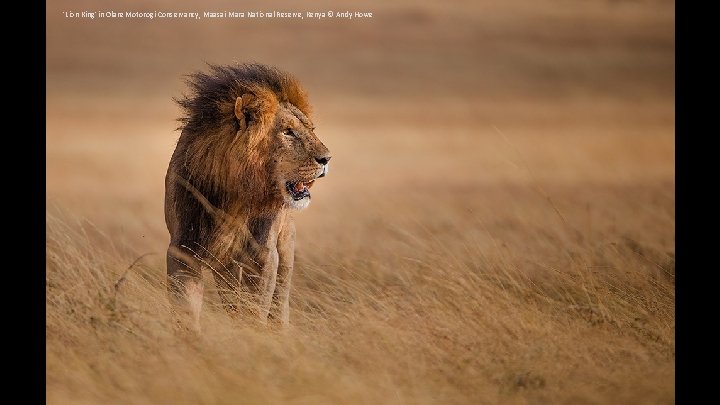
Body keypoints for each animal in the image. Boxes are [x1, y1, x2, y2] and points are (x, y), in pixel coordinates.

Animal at [165, 61, 330, 330]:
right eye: (288, 132)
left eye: (311, 130)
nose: (327, 158)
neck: (234, 195)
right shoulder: (183, 247)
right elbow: (185, 307)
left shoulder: (262, 253)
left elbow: (255, 308)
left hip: (284, 248)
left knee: (278, 300)